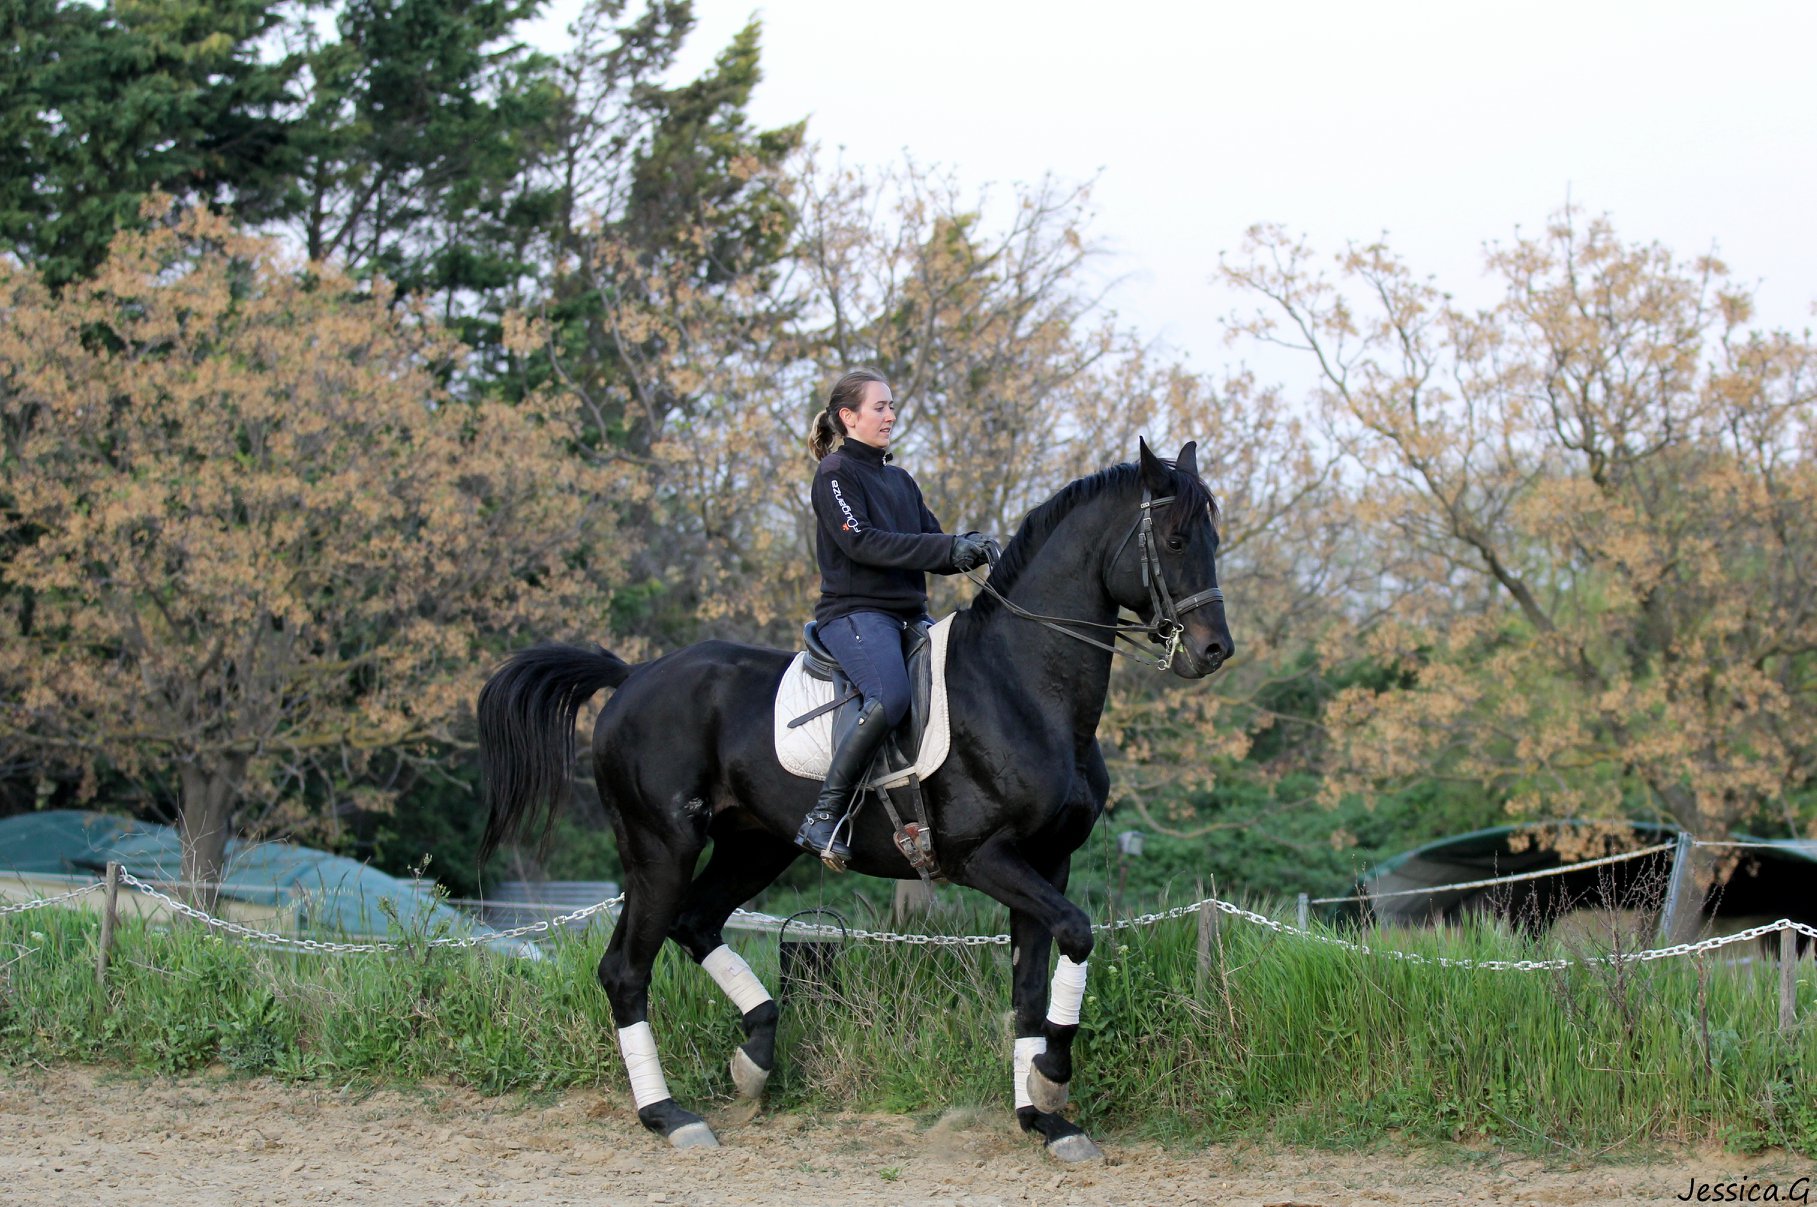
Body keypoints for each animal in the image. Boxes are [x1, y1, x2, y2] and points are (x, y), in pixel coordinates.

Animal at [479, 441, 1235, 1163]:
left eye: (1212, 540)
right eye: (1174, 540)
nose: (1213, 651)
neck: (1023, 685)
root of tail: (633, 676)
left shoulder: (1046, 864)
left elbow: (1028, 989)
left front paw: (1043, 1120)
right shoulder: (982, 858)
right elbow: (1077, 934)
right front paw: (1050, 1079)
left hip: (754, 845)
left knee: (695, 923)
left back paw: (753, 1058)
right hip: (660, 848)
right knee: (626, 970)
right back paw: (670, 1116)